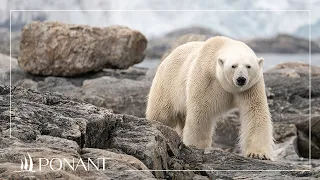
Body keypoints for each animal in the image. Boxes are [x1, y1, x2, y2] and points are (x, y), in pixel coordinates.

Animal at [146, 35, 274, 160]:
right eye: (233, 66)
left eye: (249, 66)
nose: (241, 79)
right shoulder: (206, 78)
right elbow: (201, 111)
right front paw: (197, 146)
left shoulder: (251, 88)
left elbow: (255, 111)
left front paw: (258, 154)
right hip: (168, 86)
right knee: (162, 114)